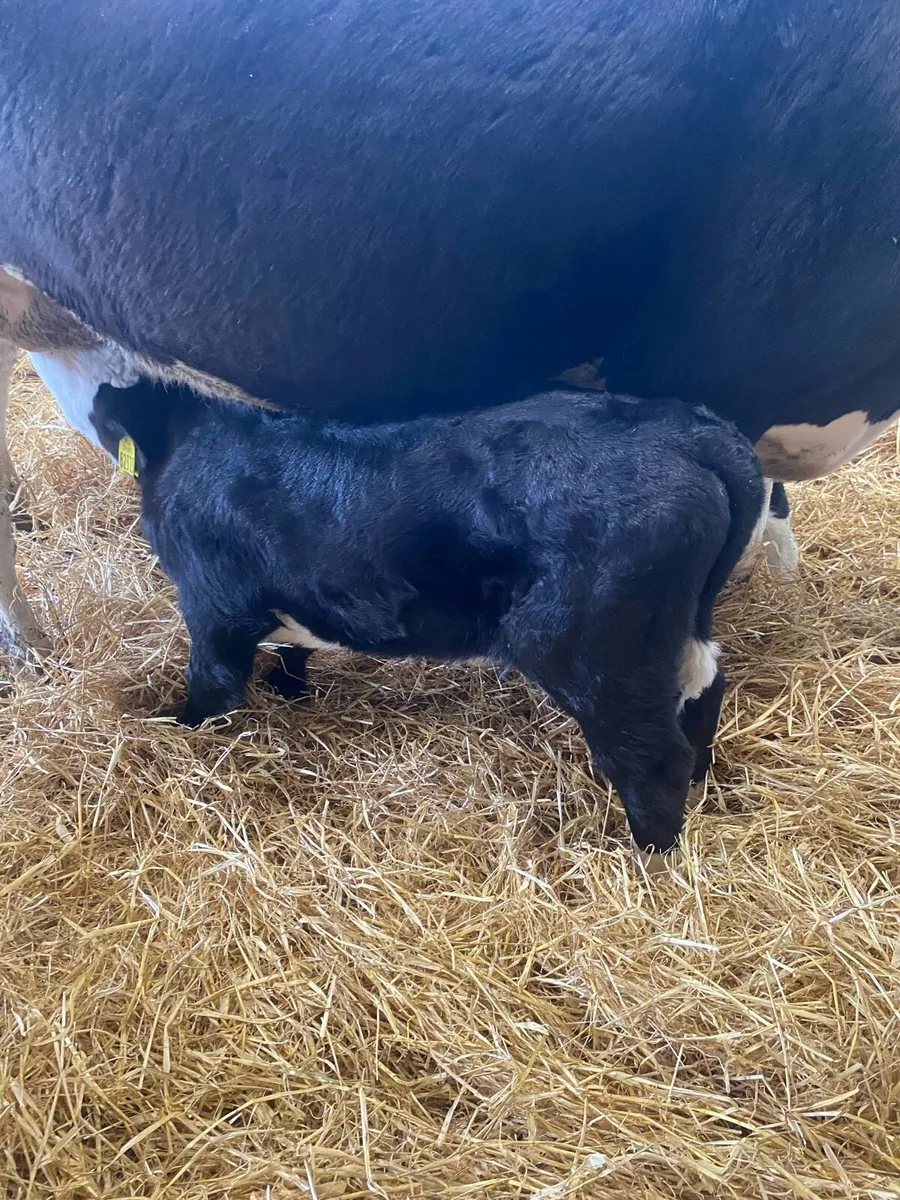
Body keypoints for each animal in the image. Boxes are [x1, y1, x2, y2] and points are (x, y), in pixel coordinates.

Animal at [89, 376, 763, 855]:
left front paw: (176, 729)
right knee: (704, 692)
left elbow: (212, 687)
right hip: (678, 630)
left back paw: (648, 855)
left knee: (651, 754)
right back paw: (700, 782)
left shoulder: (215, 607)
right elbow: (290, 649)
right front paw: (289, 692)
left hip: (588, 647)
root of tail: (693, 432)